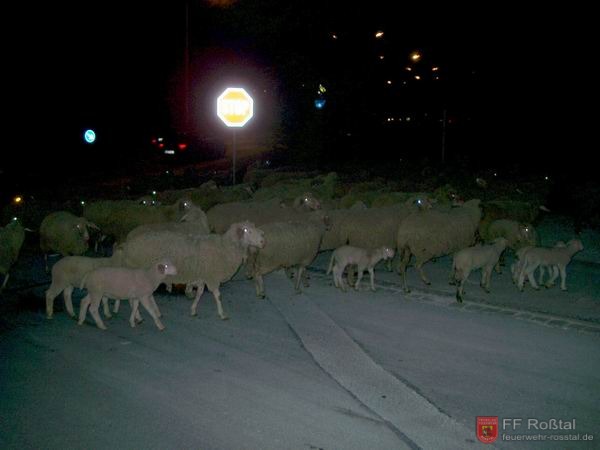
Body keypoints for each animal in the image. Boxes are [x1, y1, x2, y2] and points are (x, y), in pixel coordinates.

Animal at [122, 221, 264, 320]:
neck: (225, 248)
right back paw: (138, 317)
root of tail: (127, 245)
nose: (263, 241)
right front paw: (222, 314)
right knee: (134, 297)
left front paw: (193, 310)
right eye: (246, 230)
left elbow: (200, 292)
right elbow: (217, 295)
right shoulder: (212, 277)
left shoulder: (202, 275)